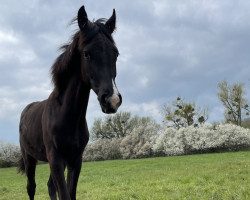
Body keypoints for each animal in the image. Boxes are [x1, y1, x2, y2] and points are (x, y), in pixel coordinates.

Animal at [18, 5, 121, 199]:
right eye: (86, 54)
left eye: (116, 54)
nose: (112, 100)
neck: (67, 115)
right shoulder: (55, 158)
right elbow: (63, 193)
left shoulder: (75, 159)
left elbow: (69, 192)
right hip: (29, 158)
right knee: (31, 187)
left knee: (50, 186)